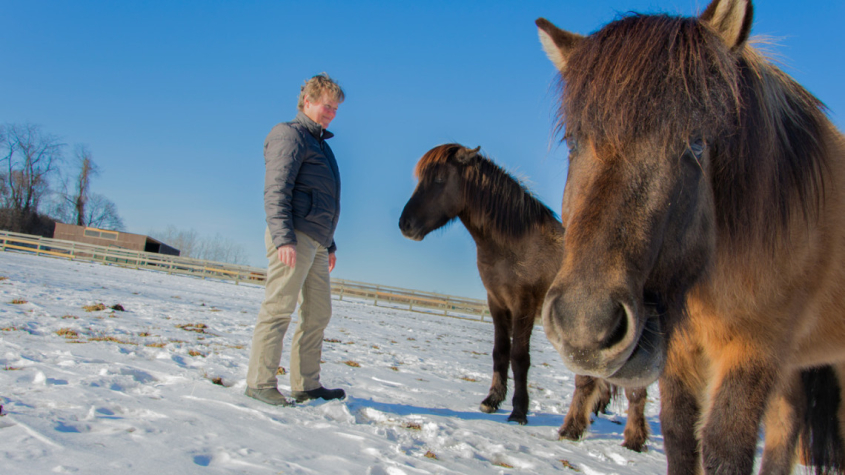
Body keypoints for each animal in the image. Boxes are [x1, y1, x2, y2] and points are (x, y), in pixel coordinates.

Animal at [398, 143, 650, 451]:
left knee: (636, 389)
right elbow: (500, 352)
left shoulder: (524, 305)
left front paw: (519, 410)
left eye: (439, 179)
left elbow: (519, 357)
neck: (515, 243)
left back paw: (633, 440)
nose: (405, 224)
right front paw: (492, 400)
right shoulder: (497, 303)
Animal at [536, 0, 845, 473]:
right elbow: (682, 435)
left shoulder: (755, 349)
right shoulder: (681, 351)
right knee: (784, 427)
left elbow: (725, 446)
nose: (584, 324)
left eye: (696, 145)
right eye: (573, 141)